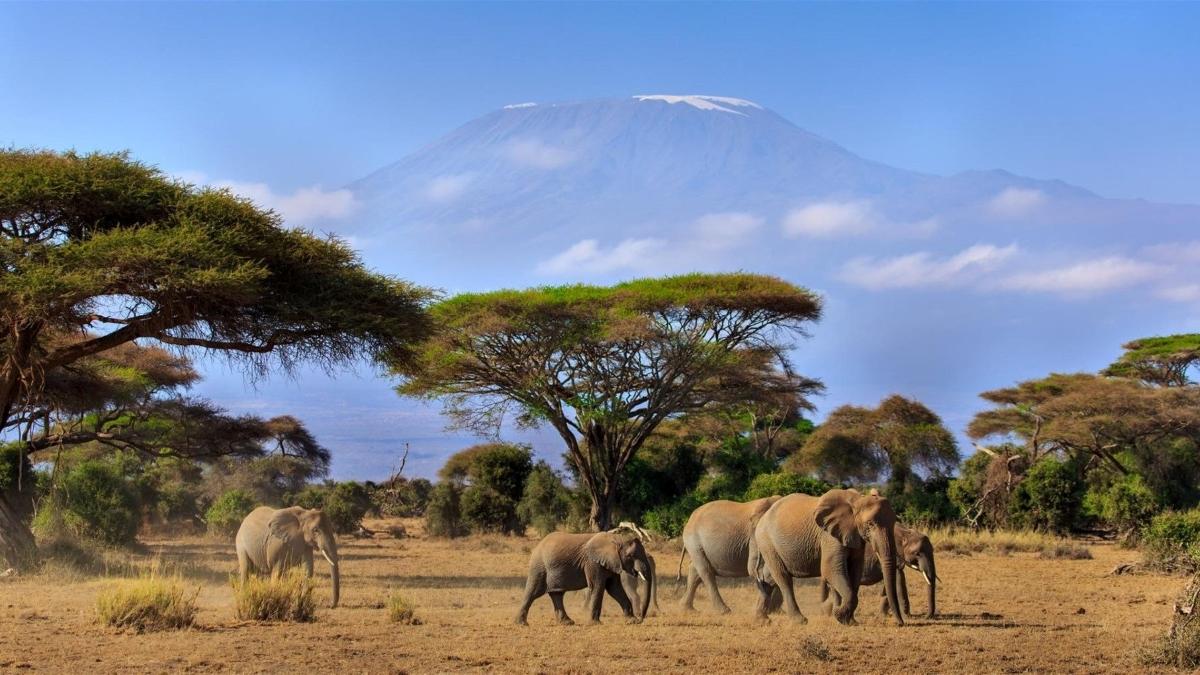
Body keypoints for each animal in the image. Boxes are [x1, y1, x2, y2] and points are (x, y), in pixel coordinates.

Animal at [515, 529, 654, 625]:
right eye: (630, 556)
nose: (641, 618)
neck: (615, 538)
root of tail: (538, 544)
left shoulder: (612, 562)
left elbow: (615, 589)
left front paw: (632, 621)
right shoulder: (592, 562)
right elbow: (598, 587)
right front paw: (595, 624)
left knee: (557, 594)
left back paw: (567, 623)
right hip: (539, 566)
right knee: (533, 592)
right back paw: (521, 624)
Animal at [749, 488, 903, 626]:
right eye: (870, 524)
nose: (900, 623)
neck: (858, 499)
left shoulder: (854, 535)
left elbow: (855, 571)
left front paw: (850, 621)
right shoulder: (829, 536)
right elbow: (831, 569)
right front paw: (839, 615)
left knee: (768, 578)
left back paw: (762, 621)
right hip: (767, 541)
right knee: (783, 578)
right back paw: (800, 621)